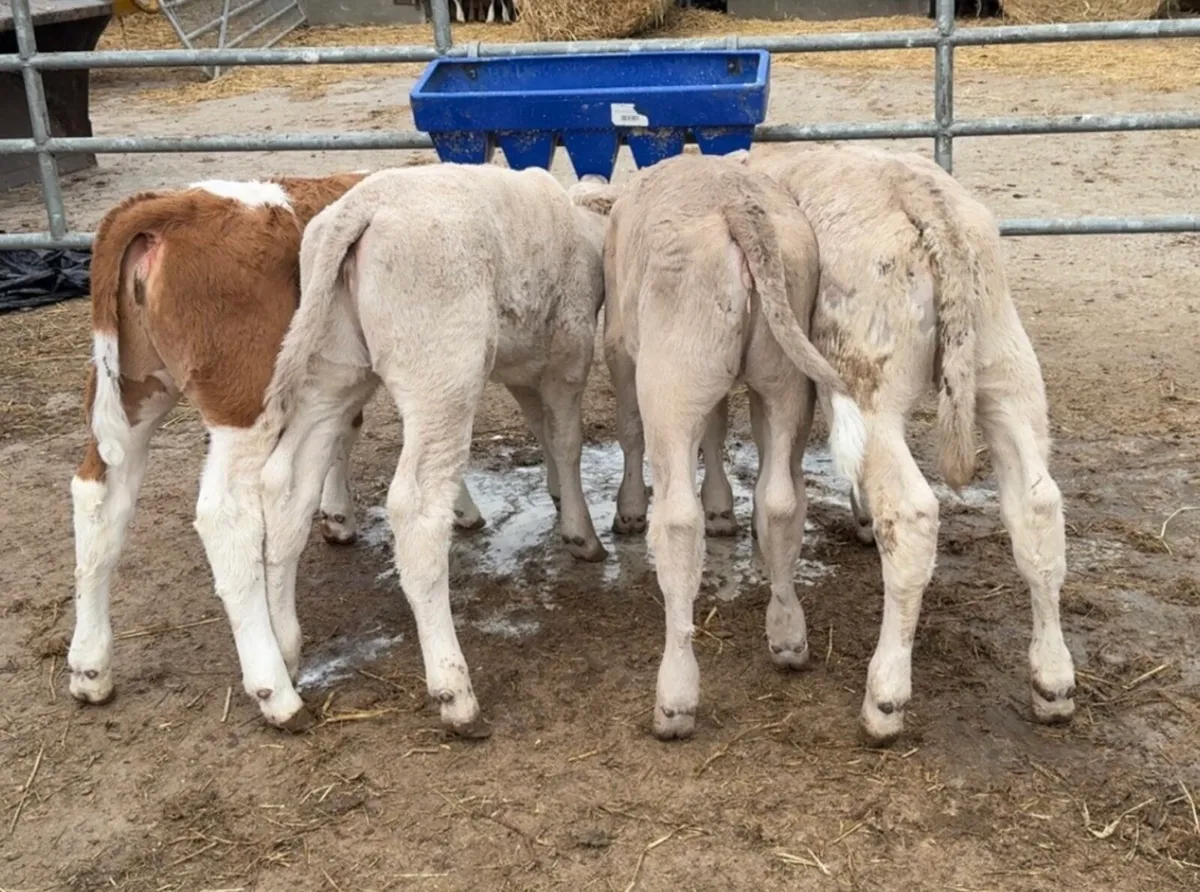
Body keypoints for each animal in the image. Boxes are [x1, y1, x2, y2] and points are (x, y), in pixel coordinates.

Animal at [67, 172, 500, 732]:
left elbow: (343, 434)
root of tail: (175, 205)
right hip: (247, 399)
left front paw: (338, 514)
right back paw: (275, 691)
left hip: (133, 394)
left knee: (99, 501)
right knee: (225, 515)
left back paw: (90, 666)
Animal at [257, 162, 610, 737]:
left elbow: (543, 429)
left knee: (285, 491)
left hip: (332, 369)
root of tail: (363, 206)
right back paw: (454, 690)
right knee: (416, 510)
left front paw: (560, 496)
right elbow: (565, 439)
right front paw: (580, 532)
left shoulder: (524, 365)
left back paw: (283, 657)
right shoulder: (568, 352)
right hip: (442, 369)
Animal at [572, 153, 867, 741]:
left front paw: (630, 510)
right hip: (784, 378)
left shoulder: (617, 345)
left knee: (677, 521)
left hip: (672, 375)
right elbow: (715, 429)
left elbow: (630, 430)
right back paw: (787, 632)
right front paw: (722, 508)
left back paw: (675, 694)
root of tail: (736, 206)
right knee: (781, 501)